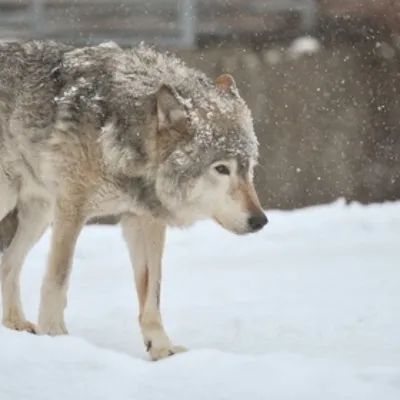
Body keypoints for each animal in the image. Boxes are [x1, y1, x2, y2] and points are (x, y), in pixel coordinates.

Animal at [0, 39, 268, 360]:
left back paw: (15, 323)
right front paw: (56, 336)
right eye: (221, 169)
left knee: (7, 264)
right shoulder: (72, 209)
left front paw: (162, 348)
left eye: (248, 168)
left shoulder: (144, 222)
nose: (260, 220)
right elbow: (58, 278)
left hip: (39, 215)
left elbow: (152, 292)